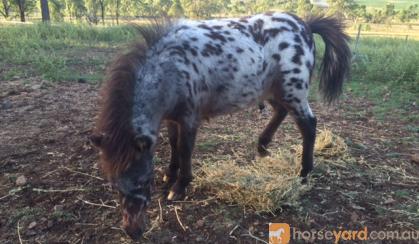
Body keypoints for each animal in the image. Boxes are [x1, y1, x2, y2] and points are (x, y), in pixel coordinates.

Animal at [91, 12, 352, 239]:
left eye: (144, 181)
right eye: (114, 184)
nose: (133, 231)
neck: (171, 67)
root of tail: (305, 25)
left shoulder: (189, 117)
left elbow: (184, 149)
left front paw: (179, 186)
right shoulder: (172, 117)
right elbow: (174, 145)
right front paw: (169, 175)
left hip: (293, 90)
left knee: (308, 125)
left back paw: (304, 174)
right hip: (273, 89)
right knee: (280, 111)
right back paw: (262, 147)